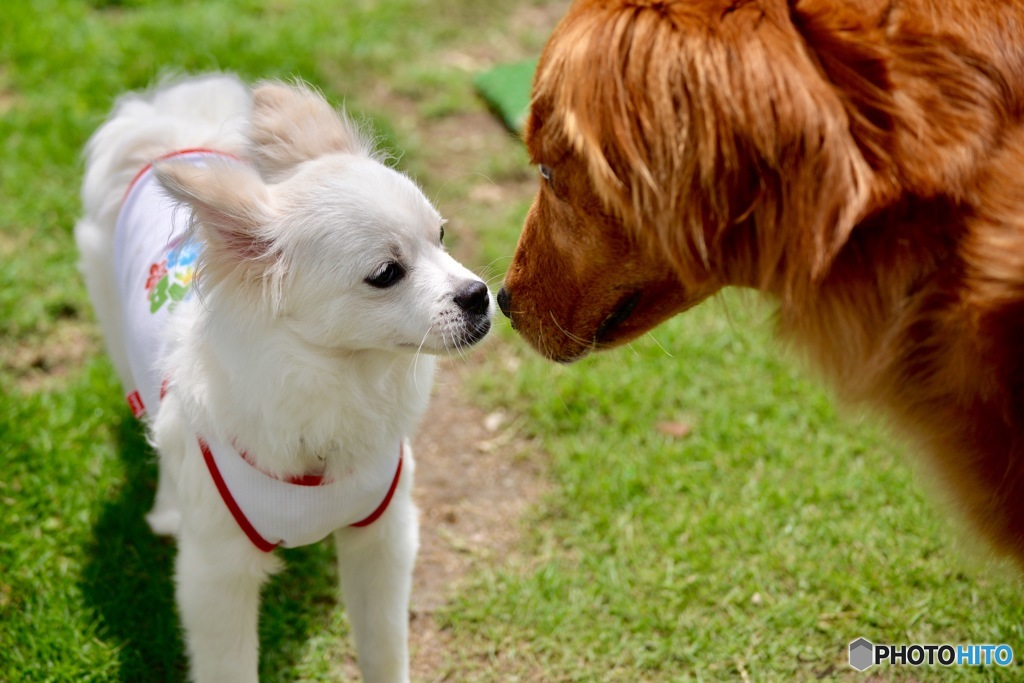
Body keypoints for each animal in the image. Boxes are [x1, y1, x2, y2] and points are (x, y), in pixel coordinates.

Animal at [74, 72, 493, 679]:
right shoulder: (215, 578)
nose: (480, 294)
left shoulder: (382, 538)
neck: (338, 383)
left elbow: (384, 648)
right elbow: (229, 665)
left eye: (441, 235)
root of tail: (170, 125)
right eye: (386, 274)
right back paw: (168, 505)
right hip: (117, 333)